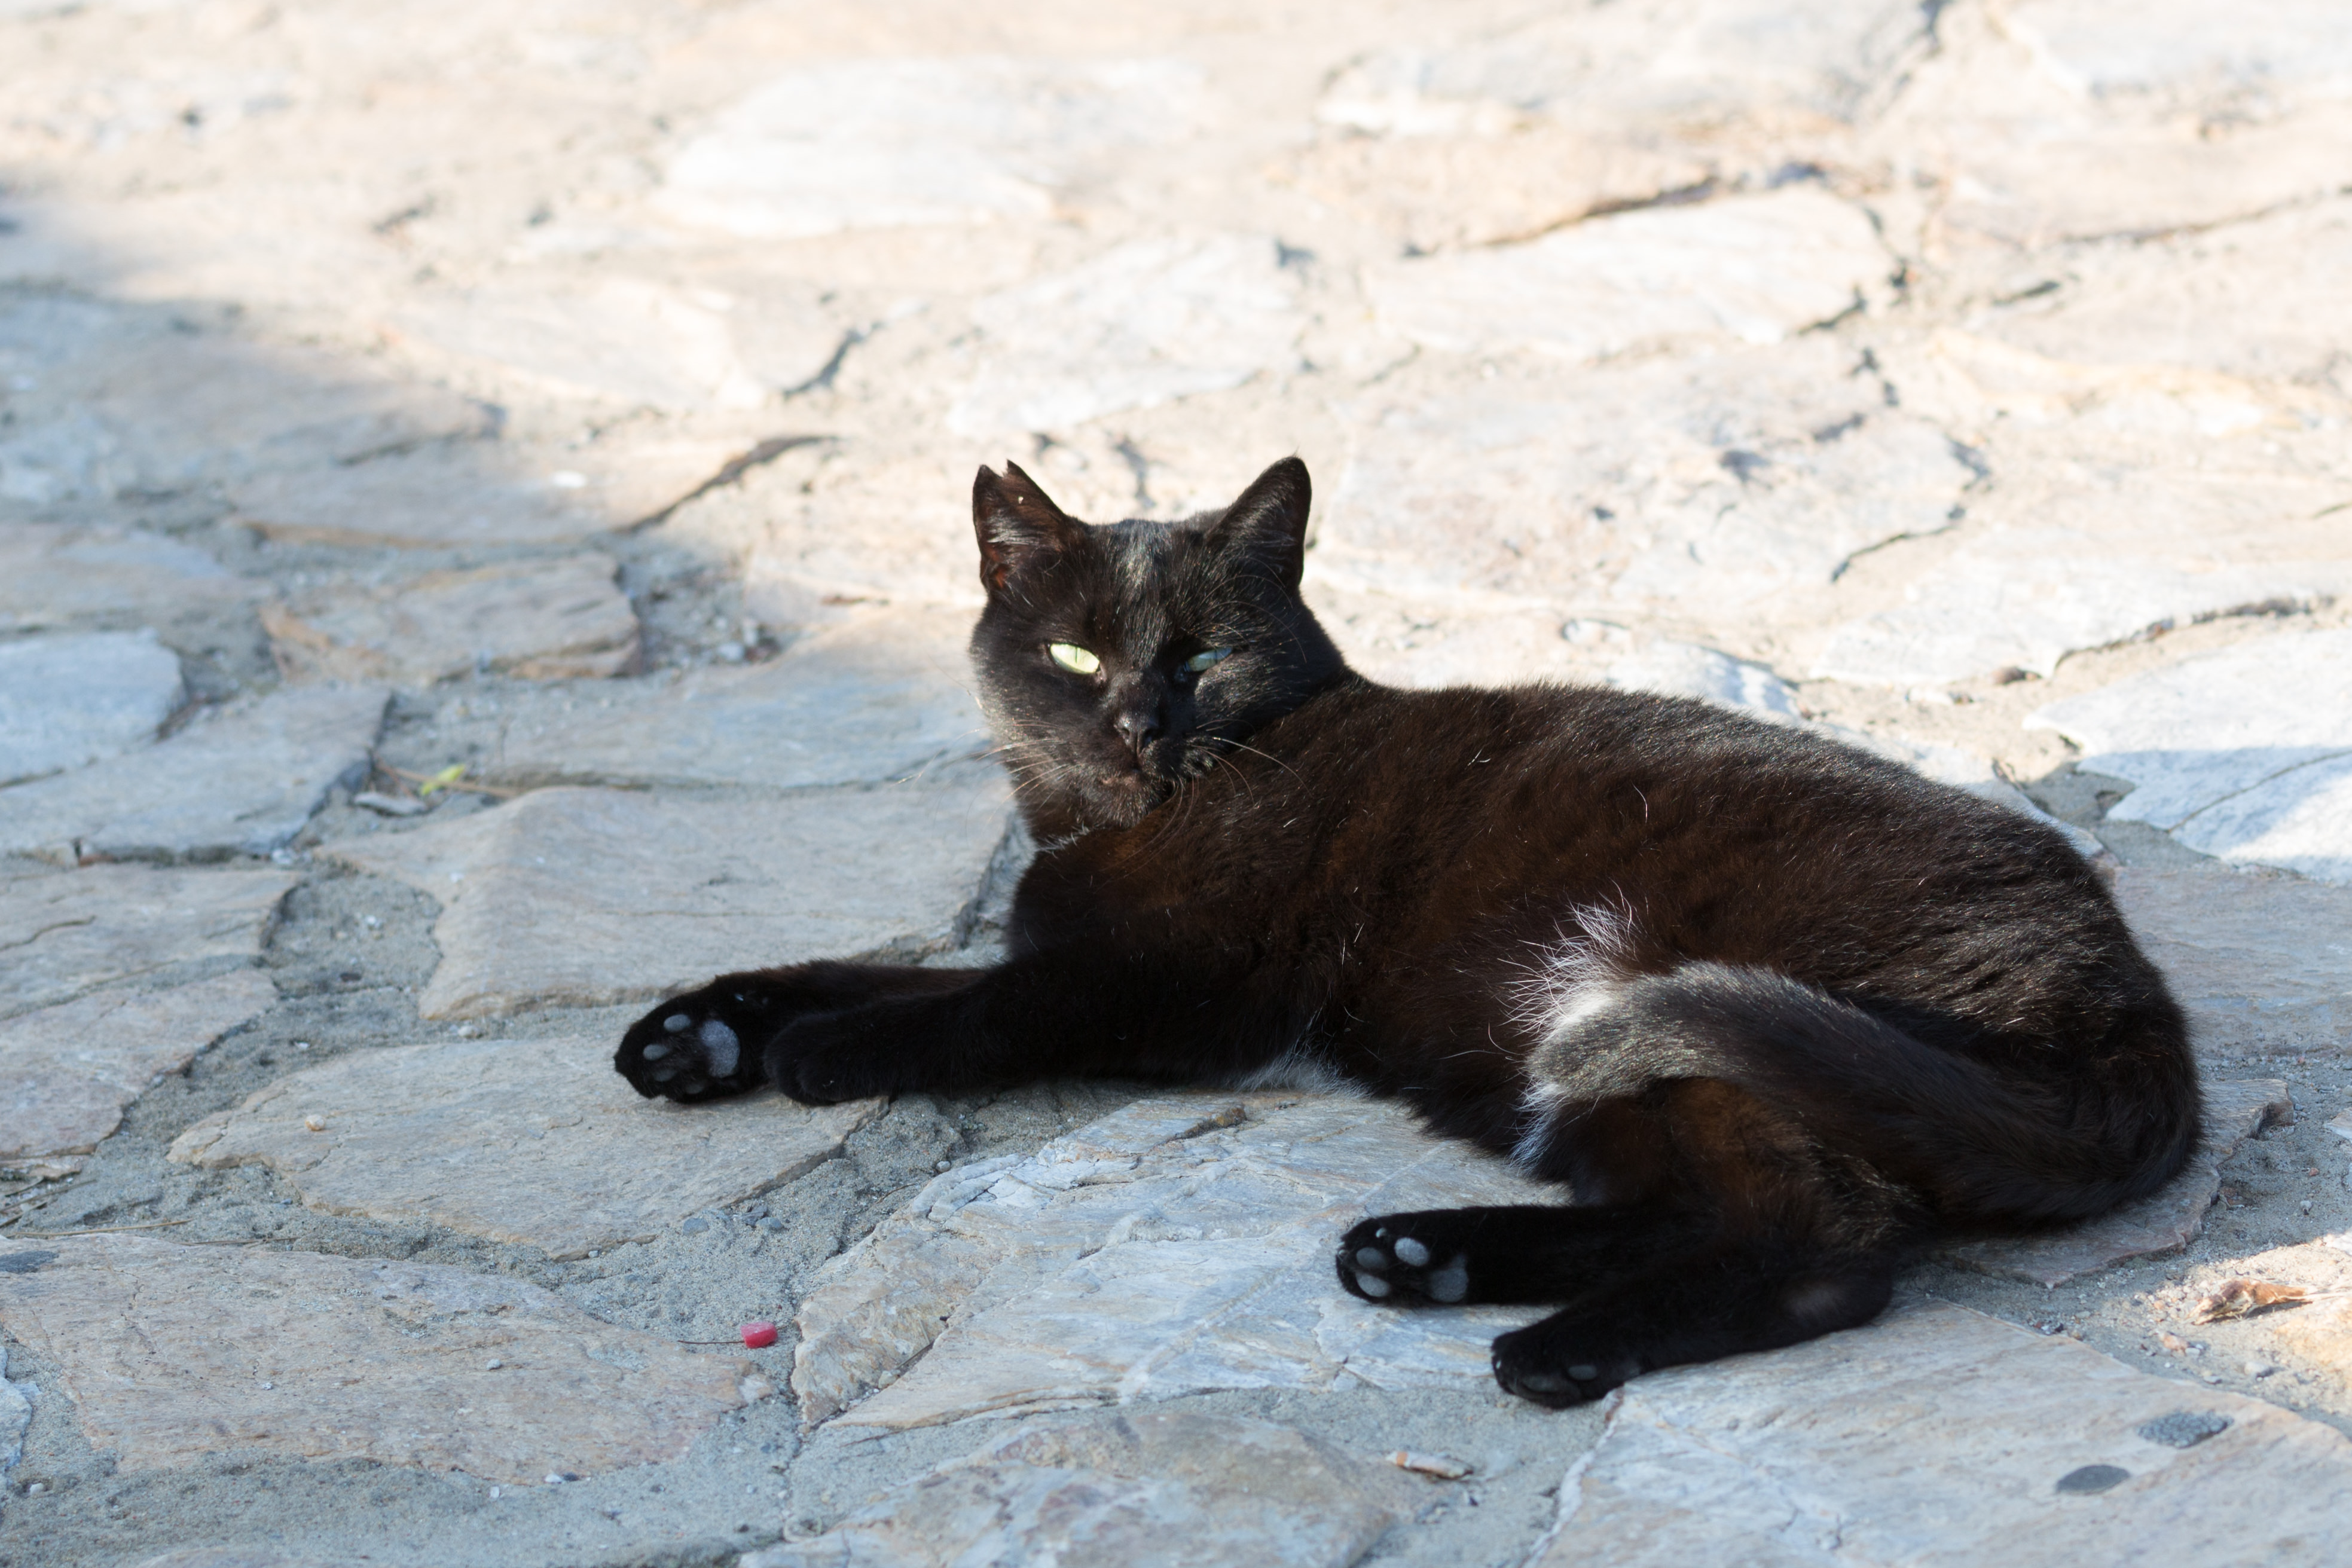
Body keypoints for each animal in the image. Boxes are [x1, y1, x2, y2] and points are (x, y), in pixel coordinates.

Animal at [615, 456, 2200, 1406]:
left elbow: (958, 1009)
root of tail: (2140, 1014)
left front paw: (816, 1052)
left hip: (1699, 1005)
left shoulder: (1160, 984)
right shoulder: (1066, 947)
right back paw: (1418, 1255)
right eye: (1071, 654)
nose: (1136, 723)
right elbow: (862, 965)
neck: (1106, 820)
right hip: (1586, 1075)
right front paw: (693, 1032)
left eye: (1201, 655)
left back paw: (1546, 1348)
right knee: (1690, 1207)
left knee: (1824, 1237)